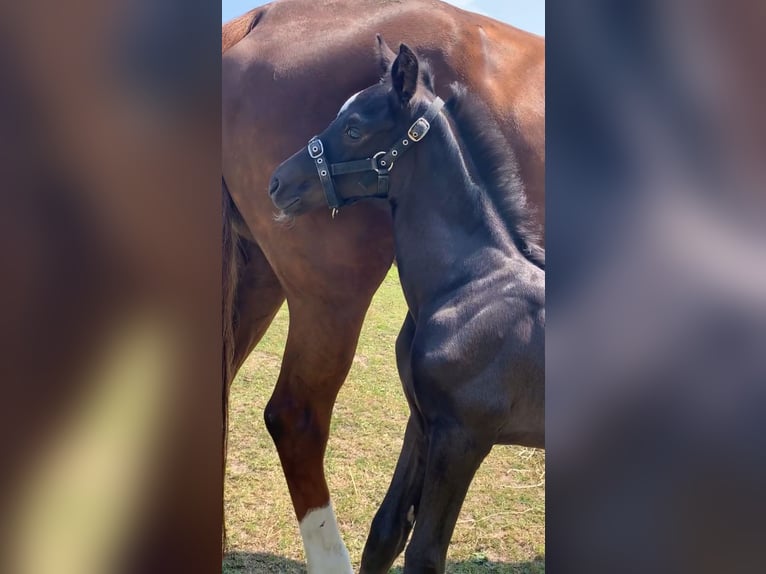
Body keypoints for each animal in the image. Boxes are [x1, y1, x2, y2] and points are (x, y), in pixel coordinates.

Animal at [222, 1, 544, 569]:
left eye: (353, 128)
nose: (277, 182)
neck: (477, 283)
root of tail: (256, 19)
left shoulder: (456, 434)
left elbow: (410, 545)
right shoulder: (435, 426)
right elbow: (396, 537)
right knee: (294, 415)